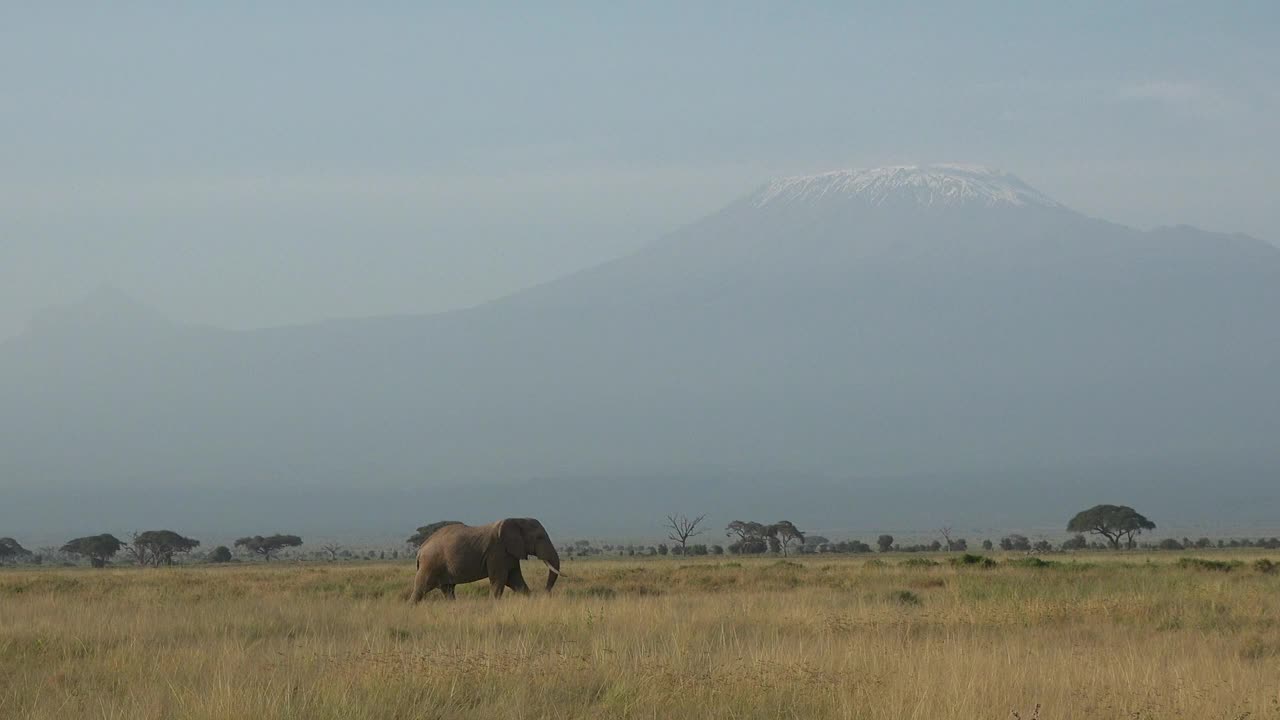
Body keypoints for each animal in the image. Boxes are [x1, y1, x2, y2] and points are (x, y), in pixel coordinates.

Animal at [412, 515, 563, 599]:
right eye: (539, 537)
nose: (545, 593)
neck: (516, 520)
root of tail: (420, 550)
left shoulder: (508, 553)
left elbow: (515, 580)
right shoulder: (496, 551)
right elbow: (500, 579)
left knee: (448, 590)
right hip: (430, 564)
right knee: (420, 589)